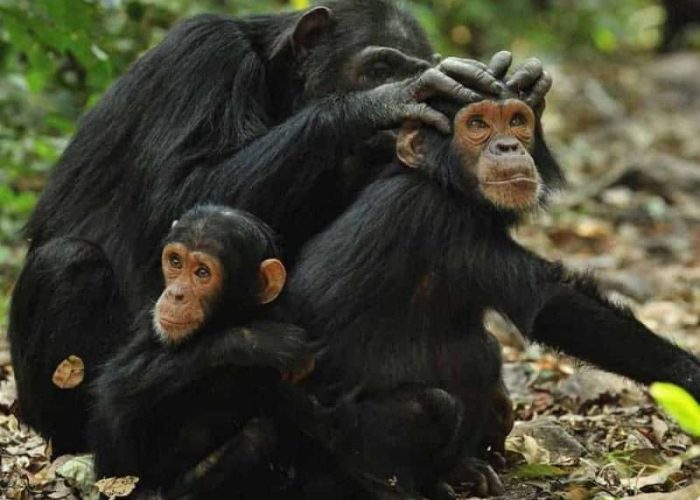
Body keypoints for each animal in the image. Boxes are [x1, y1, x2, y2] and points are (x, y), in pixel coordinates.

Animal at [6, 0, 552, 454]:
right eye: (378, 69)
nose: (394, 96)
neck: (276, 81)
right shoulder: (203, 57)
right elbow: (181, 195)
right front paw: (383, 102)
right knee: (69, 262)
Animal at [90, 204, 314, 500]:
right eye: (175, 262)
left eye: (203, 273)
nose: (175, 294)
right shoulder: (149, 322)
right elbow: (117, 384)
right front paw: (256, 340)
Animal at [288, 94, 700, 496]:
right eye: (477, 124)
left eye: (517, 121)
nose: (507, 145)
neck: (445, 184)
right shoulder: (441, 218)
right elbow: (550, 303)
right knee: (437, 401)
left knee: (479, 353)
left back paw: (459, 471)